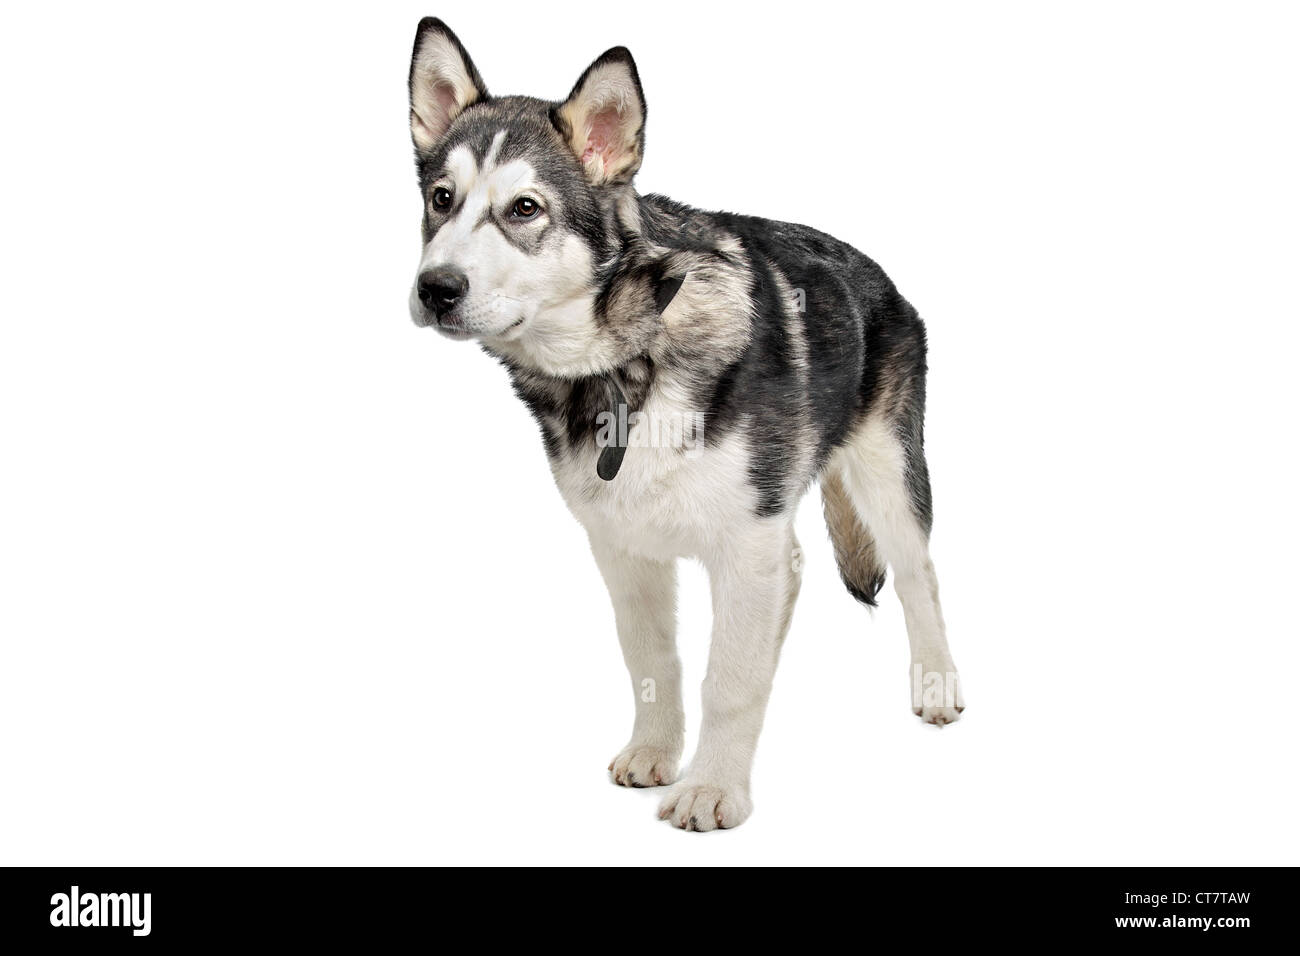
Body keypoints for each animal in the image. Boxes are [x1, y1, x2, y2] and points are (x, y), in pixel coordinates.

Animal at [405, 18, 967, 832]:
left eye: (525, 210)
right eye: (441, 200)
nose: (435, 288)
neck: (626, 360)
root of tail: (877, 273)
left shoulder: (752, 548)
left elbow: (729, 679)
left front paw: (714, 787)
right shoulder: (622, 549)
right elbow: (651, 660)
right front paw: (655, 752)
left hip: (890, 476)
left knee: (921, 577)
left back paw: (935, 684)